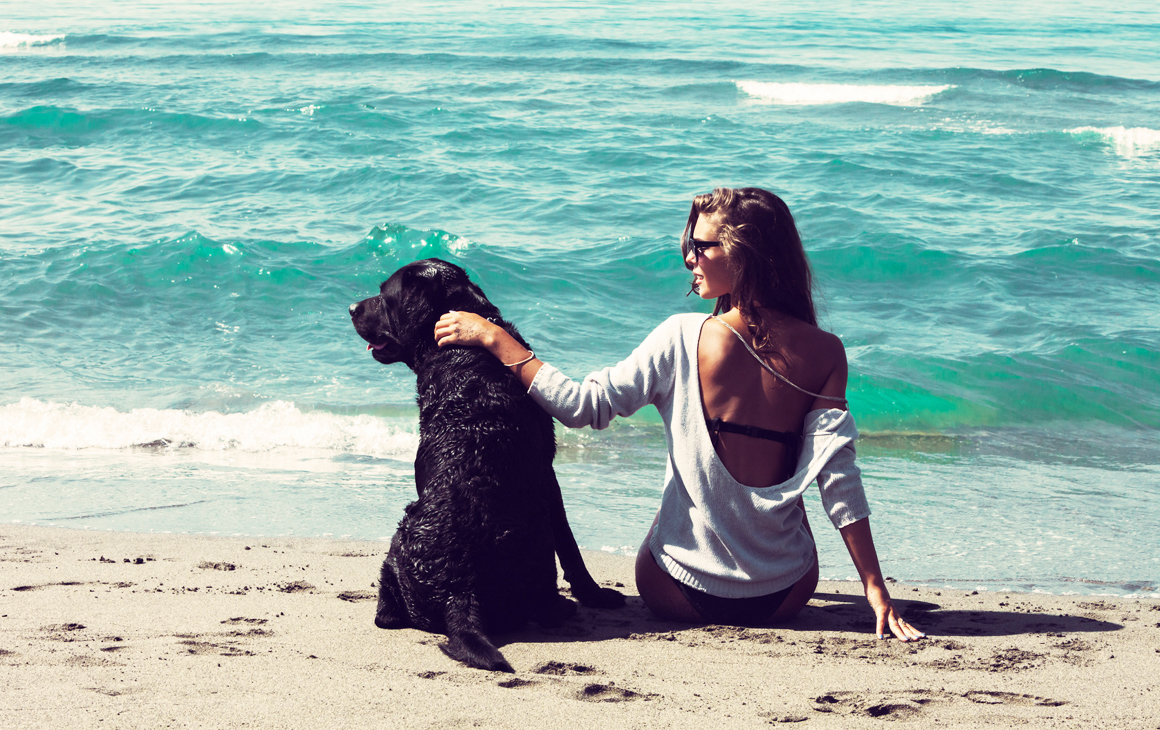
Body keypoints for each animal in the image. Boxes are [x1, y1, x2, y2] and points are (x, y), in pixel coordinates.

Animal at [348, 257, 626, 673]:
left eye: (384, 295)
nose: (351, 308)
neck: (462, 352)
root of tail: (459, 590)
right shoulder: (548, 475)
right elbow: (570, 545)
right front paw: (594, 594)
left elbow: (571, 546)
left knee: (386, 612)